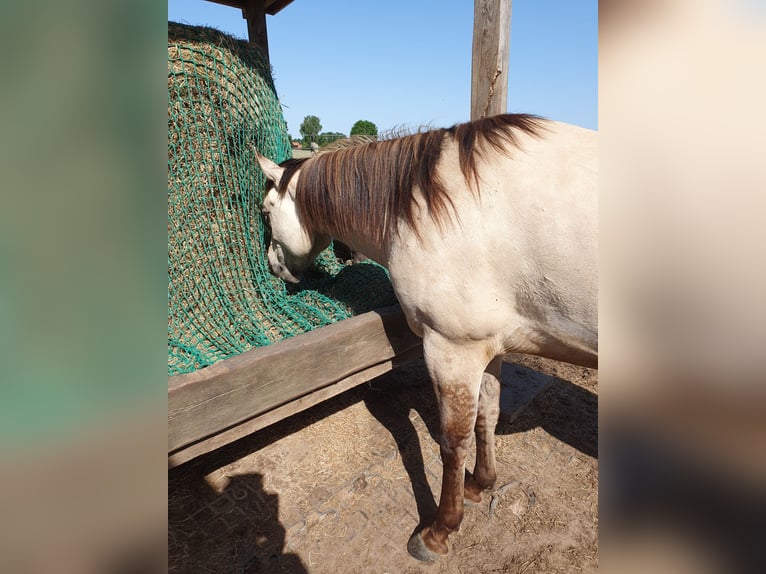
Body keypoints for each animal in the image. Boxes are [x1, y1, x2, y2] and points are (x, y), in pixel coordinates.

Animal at [255, 113, 597, 561]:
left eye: (266, 211)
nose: (275, 268)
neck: (437, 202)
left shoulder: (451, 350)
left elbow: (452, 441)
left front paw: (440, 530)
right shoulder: (489, 347)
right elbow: (487, 413)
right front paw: (480, 483)